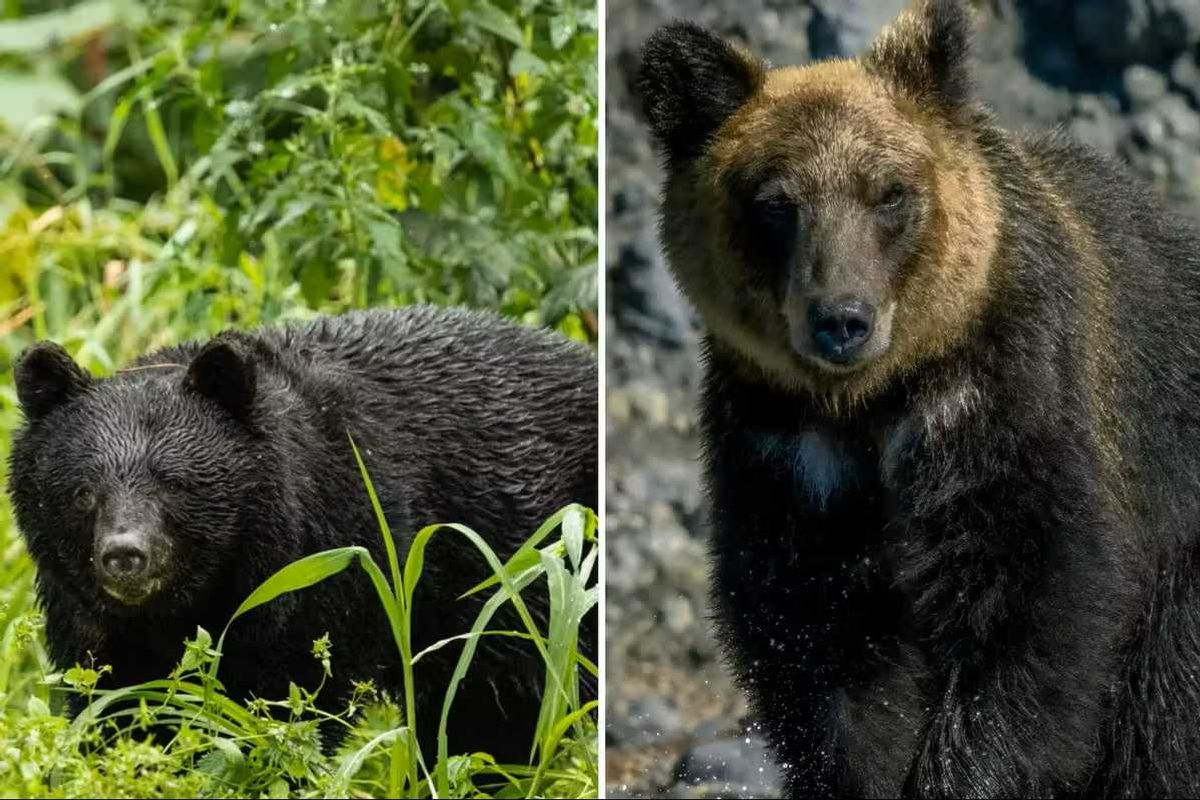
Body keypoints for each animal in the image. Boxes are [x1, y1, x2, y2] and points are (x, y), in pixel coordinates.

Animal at [7, 305, 598, 763]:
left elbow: (290, 704)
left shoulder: (333, 569)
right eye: (84, 492)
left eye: (174, 484)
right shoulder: (95, 622)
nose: (125, 556)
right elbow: (117, 702)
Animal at [638, 1, 1200, 797]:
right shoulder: (783, 449)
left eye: (889, 193)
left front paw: (962, 771)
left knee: (1164, 714)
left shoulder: (1008, 401)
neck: (873, 400)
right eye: (776, 204)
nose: (841, 318)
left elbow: (1032, 602)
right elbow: (817, 638)